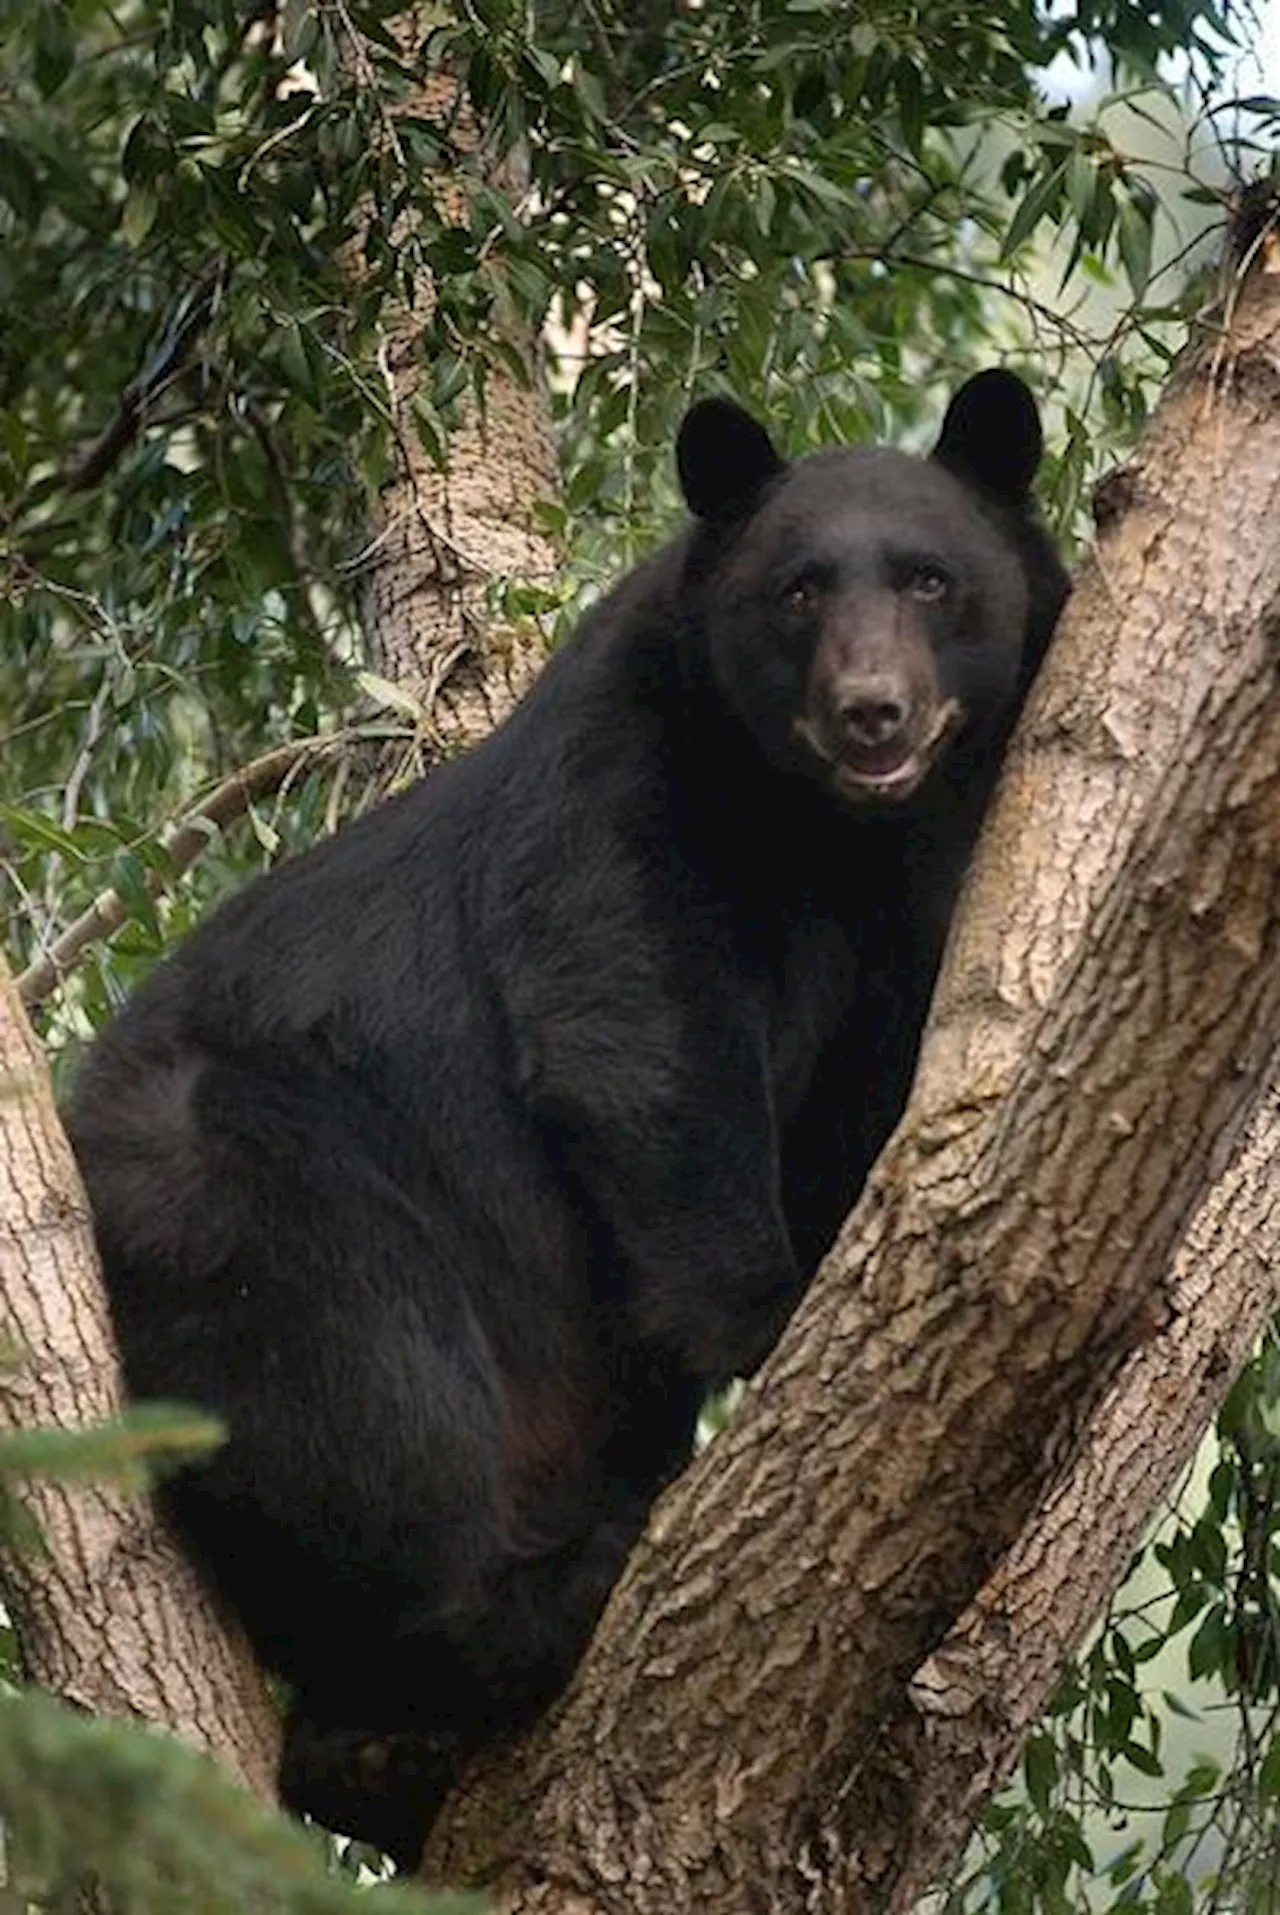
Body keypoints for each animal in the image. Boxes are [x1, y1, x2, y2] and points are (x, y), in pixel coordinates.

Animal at [67, 365, 1073, 1861]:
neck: (824, 827)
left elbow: (883, 1079)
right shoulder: (626, 770)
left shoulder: (919, 887)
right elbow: (633, 1019)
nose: (872, 713)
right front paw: (774, 1311)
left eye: (933, 579)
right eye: (797, 590)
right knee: (362, 1399)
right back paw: (515, 1618)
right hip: (235, 1172)